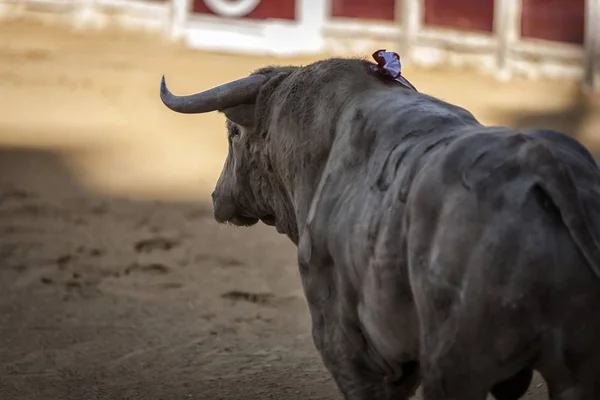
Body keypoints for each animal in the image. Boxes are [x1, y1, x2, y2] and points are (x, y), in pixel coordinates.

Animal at [159, 54, 600, 400]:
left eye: (233, 133)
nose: (217, 197)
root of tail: (537, 160)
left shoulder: (343, 335)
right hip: (574, 372)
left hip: (456, 366)